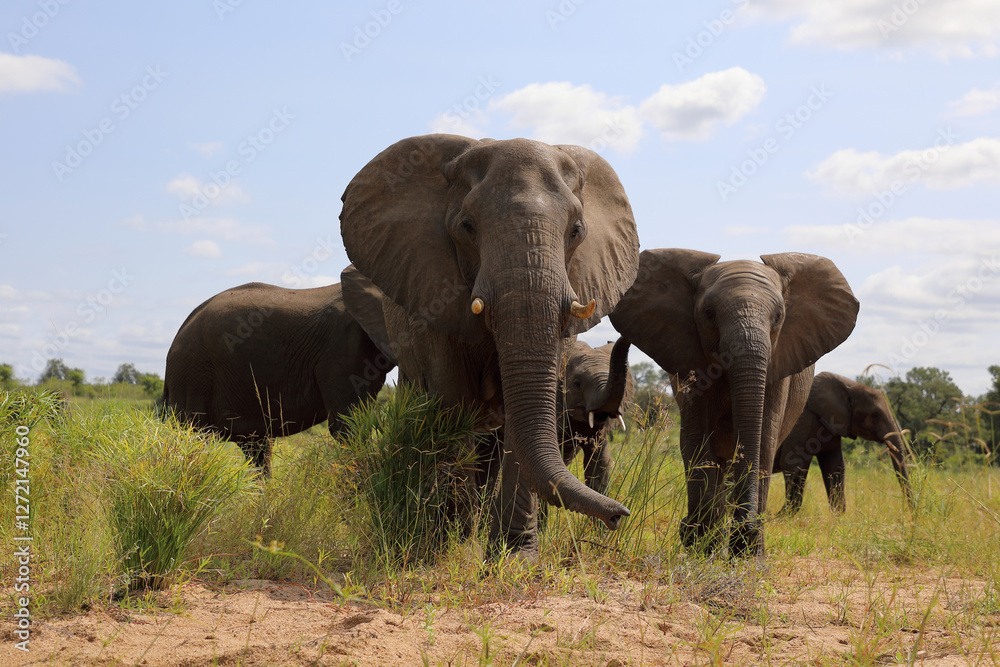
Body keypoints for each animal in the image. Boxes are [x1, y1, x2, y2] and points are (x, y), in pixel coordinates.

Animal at [339, 134, 640, 557]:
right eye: (467, 227)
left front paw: (514, 557)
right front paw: (447, 547)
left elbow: (523, 415)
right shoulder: (432, 292)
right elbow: (454, 404)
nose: (619, 516)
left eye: (577, 231)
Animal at [610, 249, 858, 556]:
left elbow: (763, 441)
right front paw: (702, 548)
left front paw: (747, 556)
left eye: (779, 316)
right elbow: (697, 440)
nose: (747, 528)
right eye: (709, 314)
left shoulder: (780, 366)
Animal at [774, 371, 912, 514]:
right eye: (875, 415)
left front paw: (838, 516)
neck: (847, 385)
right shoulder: (801, 424)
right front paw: (778, 516)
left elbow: (835, 467)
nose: (912, 515)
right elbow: (794, 464)